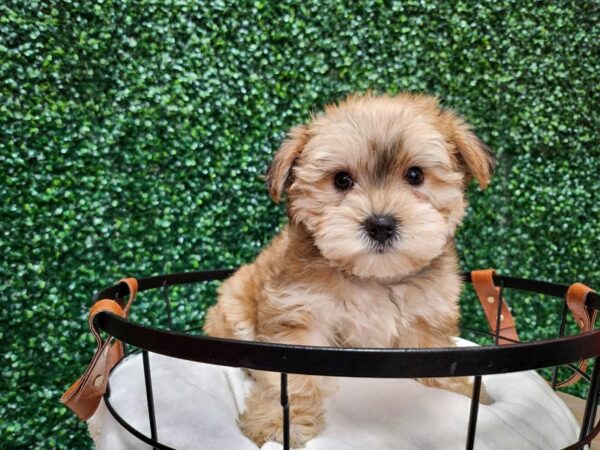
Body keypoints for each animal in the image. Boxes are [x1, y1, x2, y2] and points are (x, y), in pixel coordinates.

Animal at [204, 92, 494, 446]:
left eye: (415, 175)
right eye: (342, 180)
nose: (381, 224)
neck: (371, 277)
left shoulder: (425, 324)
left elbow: (437, 363)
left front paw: (463, 392)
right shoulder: (300, 320)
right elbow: (292, 381)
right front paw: (278, 422)